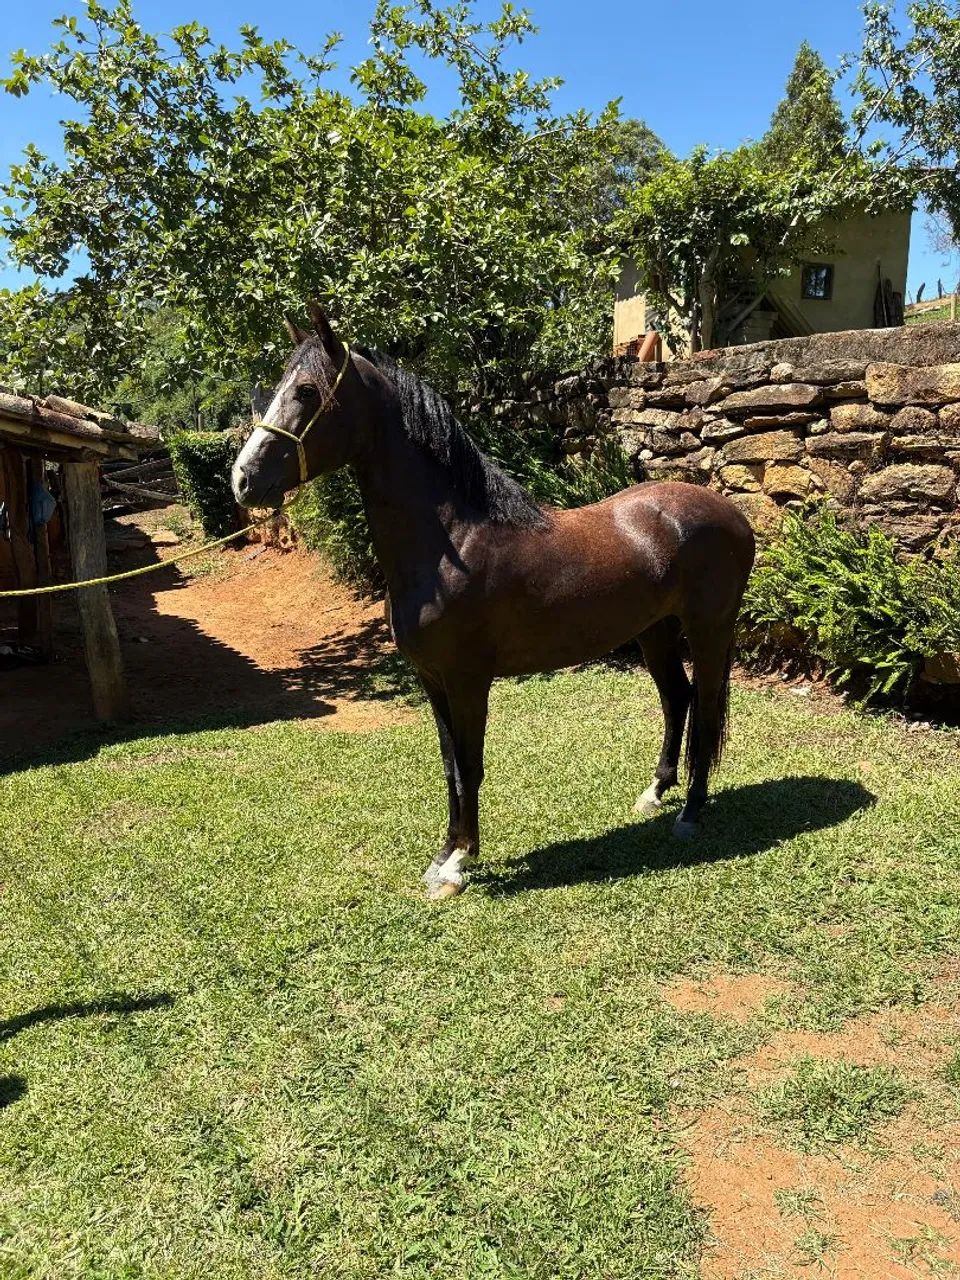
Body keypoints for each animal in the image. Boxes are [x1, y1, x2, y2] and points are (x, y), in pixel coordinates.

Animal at [232, 306, 756, 900]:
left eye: (306, 392)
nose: (243, 480)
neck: (452, 542)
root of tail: (733, 515)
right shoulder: (433, 680)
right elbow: (450, 767)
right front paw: (445, 855)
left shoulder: (467, 680)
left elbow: (471, 764)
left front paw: (458, 864)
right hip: (655, 632)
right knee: (677, 700)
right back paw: (654, 793)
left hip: (709, 630)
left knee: (705, 709)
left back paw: (690, 814)